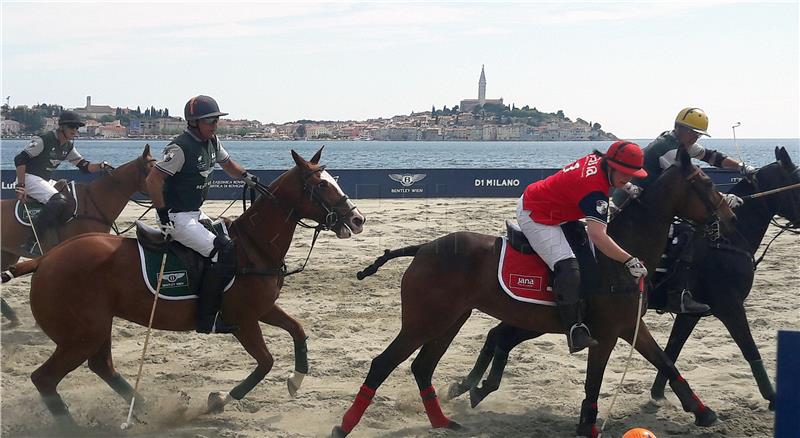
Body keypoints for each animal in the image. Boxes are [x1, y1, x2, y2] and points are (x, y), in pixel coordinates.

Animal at [332, 148, 736, 438]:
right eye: (705, 183)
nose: (731, 217)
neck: (618, 255)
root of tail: (422, 248)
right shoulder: (605, 334)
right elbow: (594, 382)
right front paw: (587, 425)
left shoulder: (629, 325)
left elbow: (666, 362)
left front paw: (703, 411)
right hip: (424, 321)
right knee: (383, 363)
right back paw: (344, 426)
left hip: (450, 320)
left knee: (422, 367)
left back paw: (443, 422)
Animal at [450, 148, 800, 414]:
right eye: (705, 182)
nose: (730, 218)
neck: (727, 242)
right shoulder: (729, 304)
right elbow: (748, 348)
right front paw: (773, 398)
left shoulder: (691, 312)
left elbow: (670, 351)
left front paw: (662, 394)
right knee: (500, 336)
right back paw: (470, 386)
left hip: (534, 317)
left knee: (499, 335)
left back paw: (469, 386)